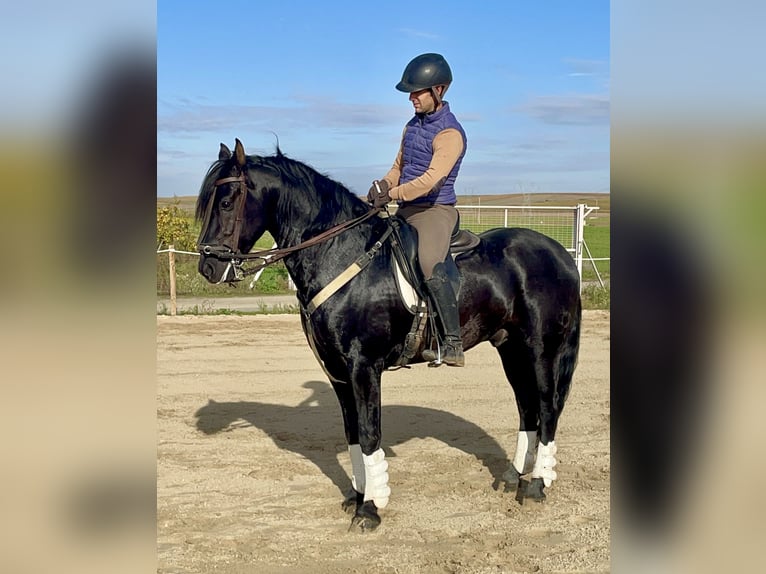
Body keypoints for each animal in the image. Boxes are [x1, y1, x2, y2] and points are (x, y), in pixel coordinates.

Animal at [194, 141, 584, 536]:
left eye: (226, 202)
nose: (208, 267)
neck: (340, 254)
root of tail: (560, 255)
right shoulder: (338, 373)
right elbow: (352, 434)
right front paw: (357, 496)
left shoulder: (363, 367)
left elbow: (369, 434)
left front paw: (370, 509)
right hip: (511, 349)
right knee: (526, 408)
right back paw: (514, 477)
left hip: (542, 349)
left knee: (547, 407)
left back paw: (536, 485)